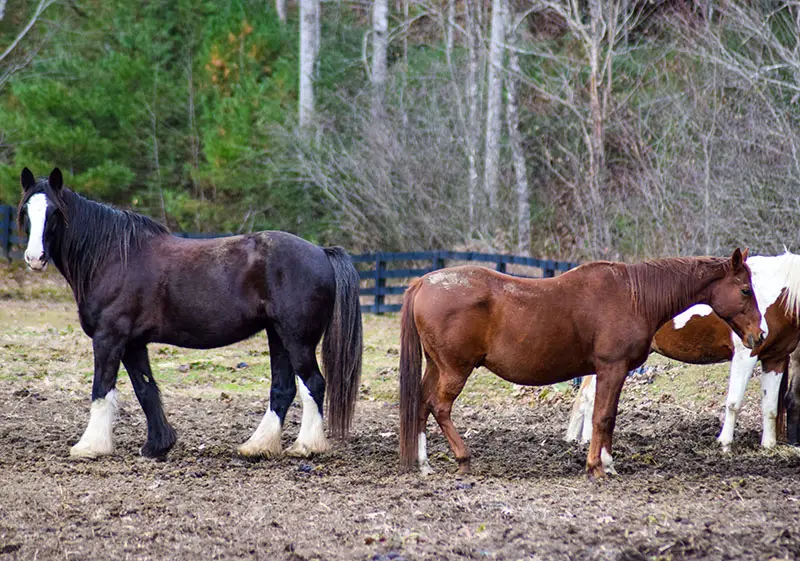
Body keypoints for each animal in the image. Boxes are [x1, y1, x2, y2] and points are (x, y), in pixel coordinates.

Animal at [18, 167, 362, 460]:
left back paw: (306, 446)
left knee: (313, 384)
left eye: (54, 213)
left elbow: (101, 390)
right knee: (284, 388)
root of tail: (321, 252)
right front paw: (157, 446)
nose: (35, 258)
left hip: (297, 339)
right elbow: (146, 390)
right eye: (25, 212)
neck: (113, 256)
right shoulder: (133, 343)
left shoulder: (109, 337)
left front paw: (90, 447)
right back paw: (257, 446)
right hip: (277, 335)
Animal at [398, 252, 764, 474]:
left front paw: (607, 463)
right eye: (745, 290)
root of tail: (423, 282)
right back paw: (463, 458)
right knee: (439, 407)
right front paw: (596, 467)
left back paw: (424, 464)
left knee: (421, 405)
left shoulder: (612, 372)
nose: (759, 335)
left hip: (436, 367)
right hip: (454, 370)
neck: (634, 296)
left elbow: (608, 417)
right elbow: (601, 417)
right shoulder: (612, 368)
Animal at [564, 253, 800, 450]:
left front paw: (768, 446)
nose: (760, 333)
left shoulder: (776, 360)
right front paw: (725, 444)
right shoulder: (745, 357)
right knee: (590, 397)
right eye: (745, 291)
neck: (778, 295)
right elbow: (734, 403)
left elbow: (770, 407)